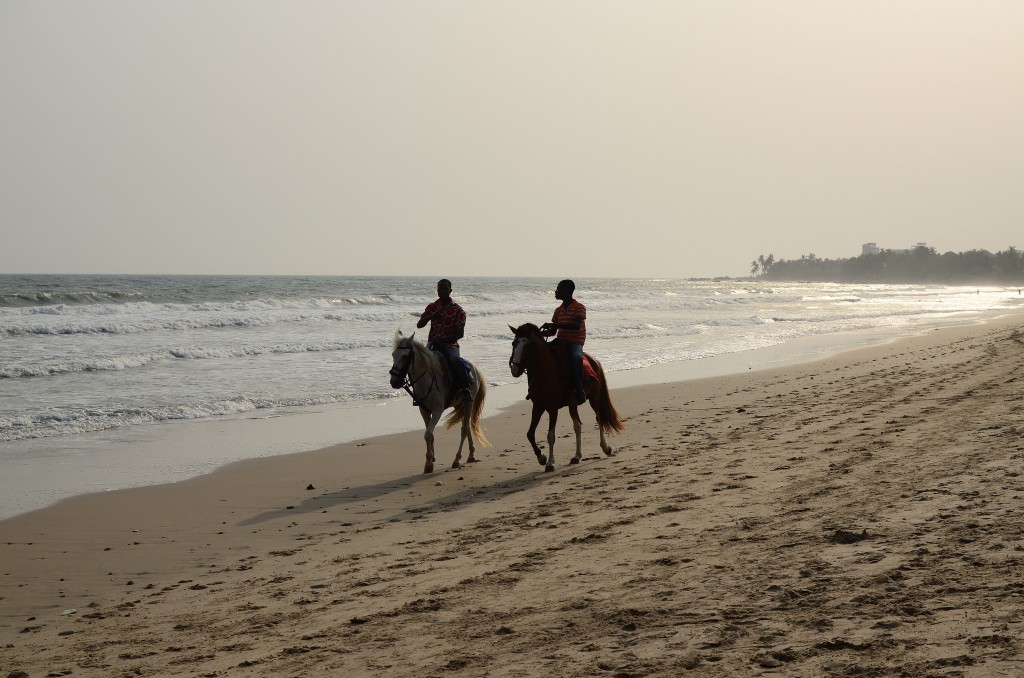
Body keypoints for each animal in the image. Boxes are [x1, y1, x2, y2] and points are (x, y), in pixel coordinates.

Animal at [389, 331, 489, 475]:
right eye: (393, 355)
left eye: (405, 356)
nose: (394, 381)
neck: (426, 378)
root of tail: (475, 369)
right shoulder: (424, 410)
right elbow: (429, 435)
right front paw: (430, 459)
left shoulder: (437, 410)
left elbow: (428, 434)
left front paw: (429, 462)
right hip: (460, 404)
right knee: (467, 427)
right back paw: (471, 455)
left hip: (469, 401)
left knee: (464, 429)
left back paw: (457, 460)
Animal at [509, 323, 622, 473]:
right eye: (514, 343)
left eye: (528, 345)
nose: (515, 369)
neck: (544, 372)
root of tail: (594, 361)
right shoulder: (538, 406)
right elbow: (530, 434)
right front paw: (541, 458)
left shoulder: (552, 409)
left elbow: (551, 436)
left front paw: (550, 462)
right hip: (572, 404)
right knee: (577, 426)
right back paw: (577, 456)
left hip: (594, 398)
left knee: (599, 419)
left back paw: (606, 448)